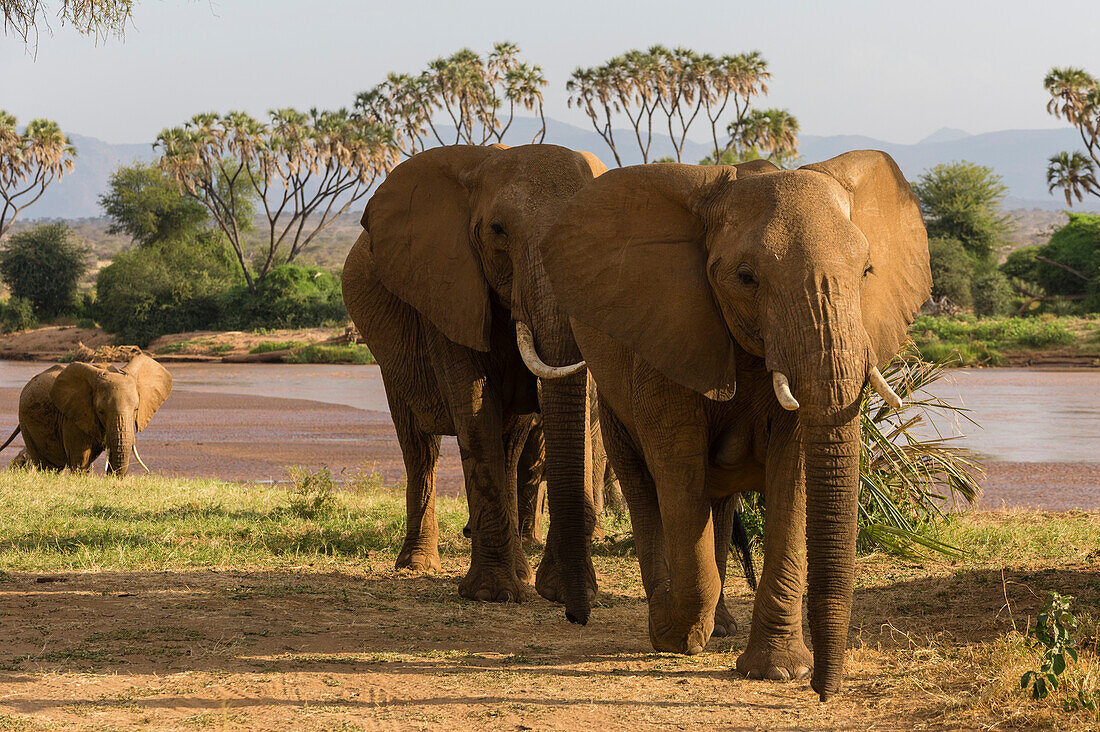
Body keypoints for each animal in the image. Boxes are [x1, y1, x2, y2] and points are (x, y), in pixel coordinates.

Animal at [0, 352, 171, 473]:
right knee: (46, 465)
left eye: (136, 409)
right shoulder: (72, 417)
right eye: (101, 411)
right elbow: (81, 459)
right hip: (25, 422)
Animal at [338, 143, 607, 620]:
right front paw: (492, 595)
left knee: (510, 442)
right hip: (389, 355)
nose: (575, 614)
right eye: (498, 231)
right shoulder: (446, 285)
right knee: (419, 448)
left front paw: (549, 589)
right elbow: (473, 402)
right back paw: (417, 566)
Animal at [539, 149, 928, 695]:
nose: (823, 691)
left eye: (868, 270)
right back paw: (675, 622)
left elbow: (794, 472)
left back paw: (719, 627)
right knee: (646, 485)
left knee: (717, 500)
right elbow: (679, 472)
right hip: (610, 395)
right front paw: (675, 634)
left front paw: (780, 671)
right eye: (746, 278)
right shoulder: (666, 336)